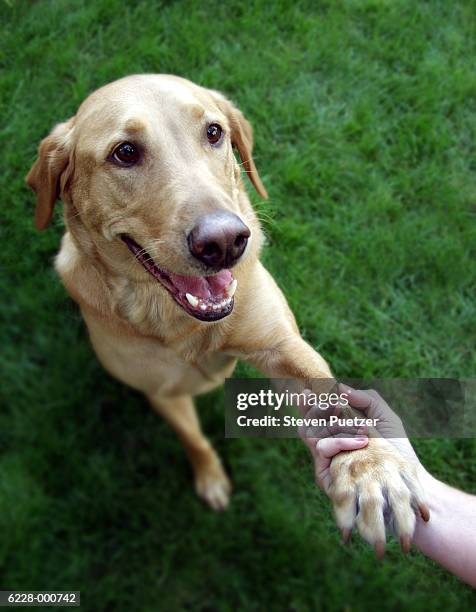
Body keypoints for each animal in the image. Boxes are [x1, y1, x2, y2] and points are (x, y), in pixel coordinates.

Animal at [26, 74, 428, 552]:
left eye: (214, 132)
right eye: (124, 152)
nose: (223, 242)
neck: (182, 319)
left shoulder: (281, 344)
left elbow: (333, 400)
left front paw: (372, 468)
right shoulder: (162, 390)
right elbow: (194, 438)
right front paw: (212, 479)